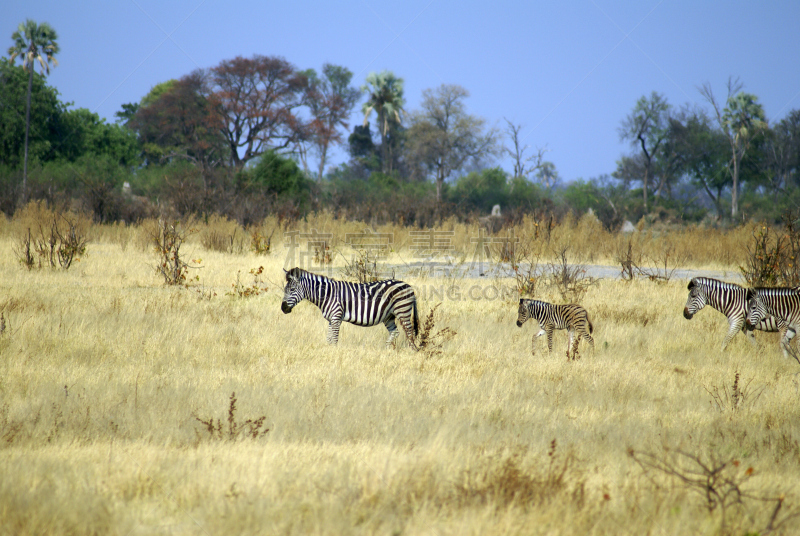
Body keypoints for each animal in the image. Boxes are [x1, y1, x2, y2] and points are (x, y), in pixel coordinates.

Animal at [280, 266, 418, 350]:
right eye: (285, 289)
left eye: (292, 289)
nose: (283, 308)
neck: (327, 294)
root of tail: (409, 286)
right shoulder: (331, 319)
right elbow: (329, 339)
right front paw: (329, 352)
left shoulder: (336, 317)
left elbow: (334, 339)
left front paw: (334, 355)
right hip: (388, 315)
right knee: (395, 332)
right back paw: (386, 351)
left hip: (403, 310)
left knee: (409, 333)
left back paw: (410, 352)